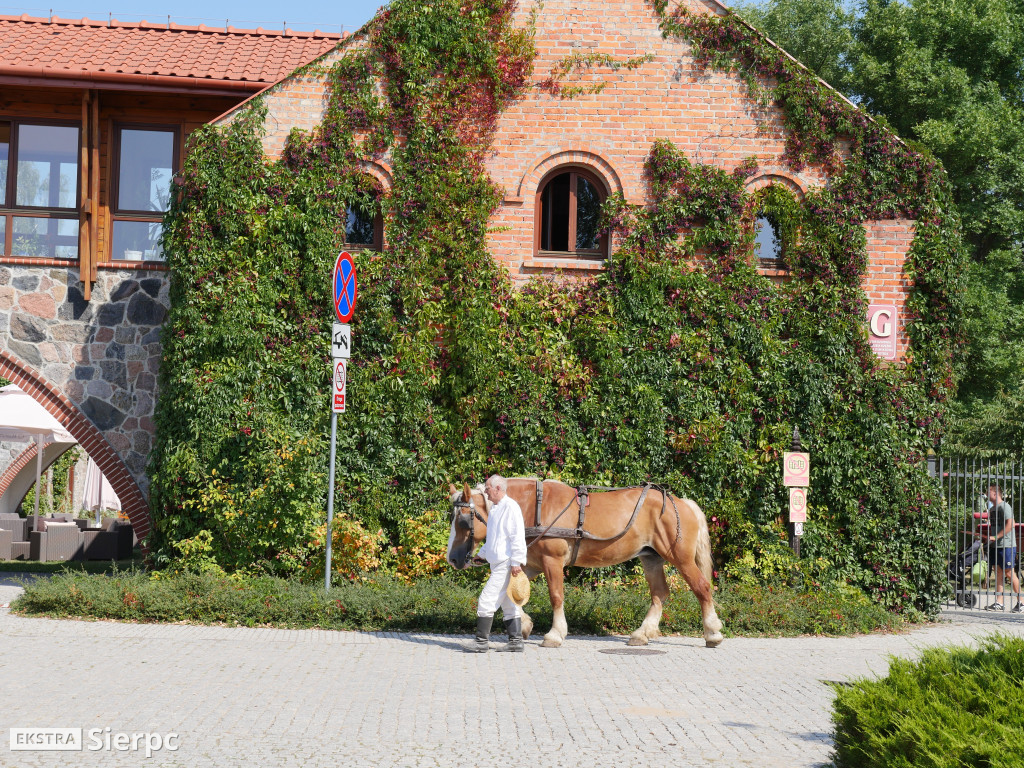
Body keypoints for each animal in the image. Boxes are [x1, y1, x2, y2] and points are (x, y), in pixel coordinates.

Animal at [444, 481, 724, 651]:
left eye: (464, 520)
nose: (453, 559)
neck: (533, 507)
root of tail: (683, 503)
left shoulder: (552, 561)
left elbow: (556, 596)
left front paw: (555, 634)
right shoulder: (532, 564)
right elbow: (510, 597)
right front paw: (524, 625)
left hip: (680, 558)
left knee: (702, 588)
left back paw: (712, 633)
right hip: (651, 557)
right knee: (659, 594)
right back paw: (642, 634)